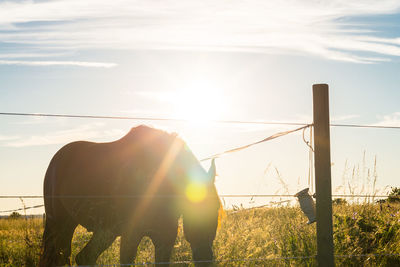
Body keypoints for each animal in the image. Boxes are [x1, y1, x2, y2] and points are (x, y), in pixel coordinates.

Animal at [39, 126, 222, 267]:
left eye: (216, 208)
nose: (206, 258)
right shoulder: (130, 236)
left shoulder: (165, 237)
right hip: (62, 223)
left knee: (76, 257)